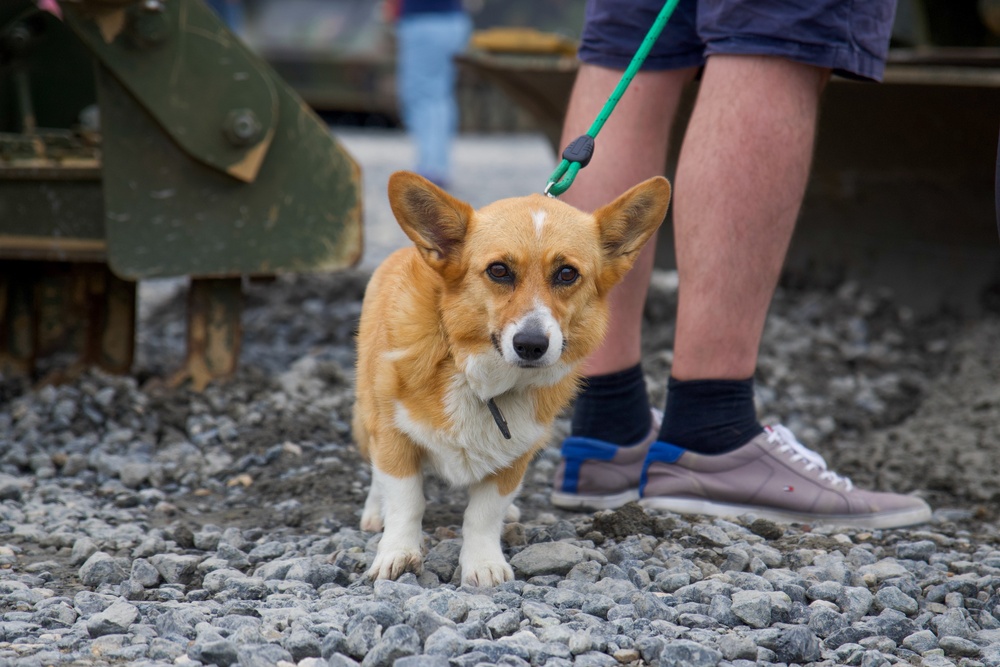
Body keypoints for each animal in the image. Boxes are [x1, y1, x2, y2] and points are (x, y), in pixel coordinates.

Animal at [352, 171, 672, 584]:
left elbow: (483, 513)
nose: (531, 345)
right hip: (366, 416)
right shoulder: (394, 431)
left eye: (567, 273)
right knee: (378, 474)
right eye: (498, 270)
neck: (477, 376)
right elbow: (407, 501)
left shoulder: (517, 451)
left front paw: (483, 564)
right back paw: (375, 512)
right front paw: (397, 554)